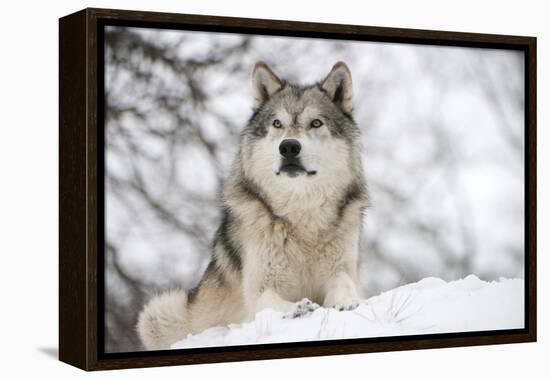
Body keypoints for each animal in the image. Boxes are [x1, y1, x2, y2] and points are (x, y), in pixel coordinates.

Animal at [137, 61, 368, 350]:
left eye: (316, 123)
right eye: (277, 123)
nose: (288, 147)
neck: (301, 218)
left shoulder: (341, 270)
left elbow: (344, 284)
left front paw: (347, 302)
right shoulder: (259, 288)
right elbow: (269, 300)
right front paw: (297, 308)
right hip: (159, 311)